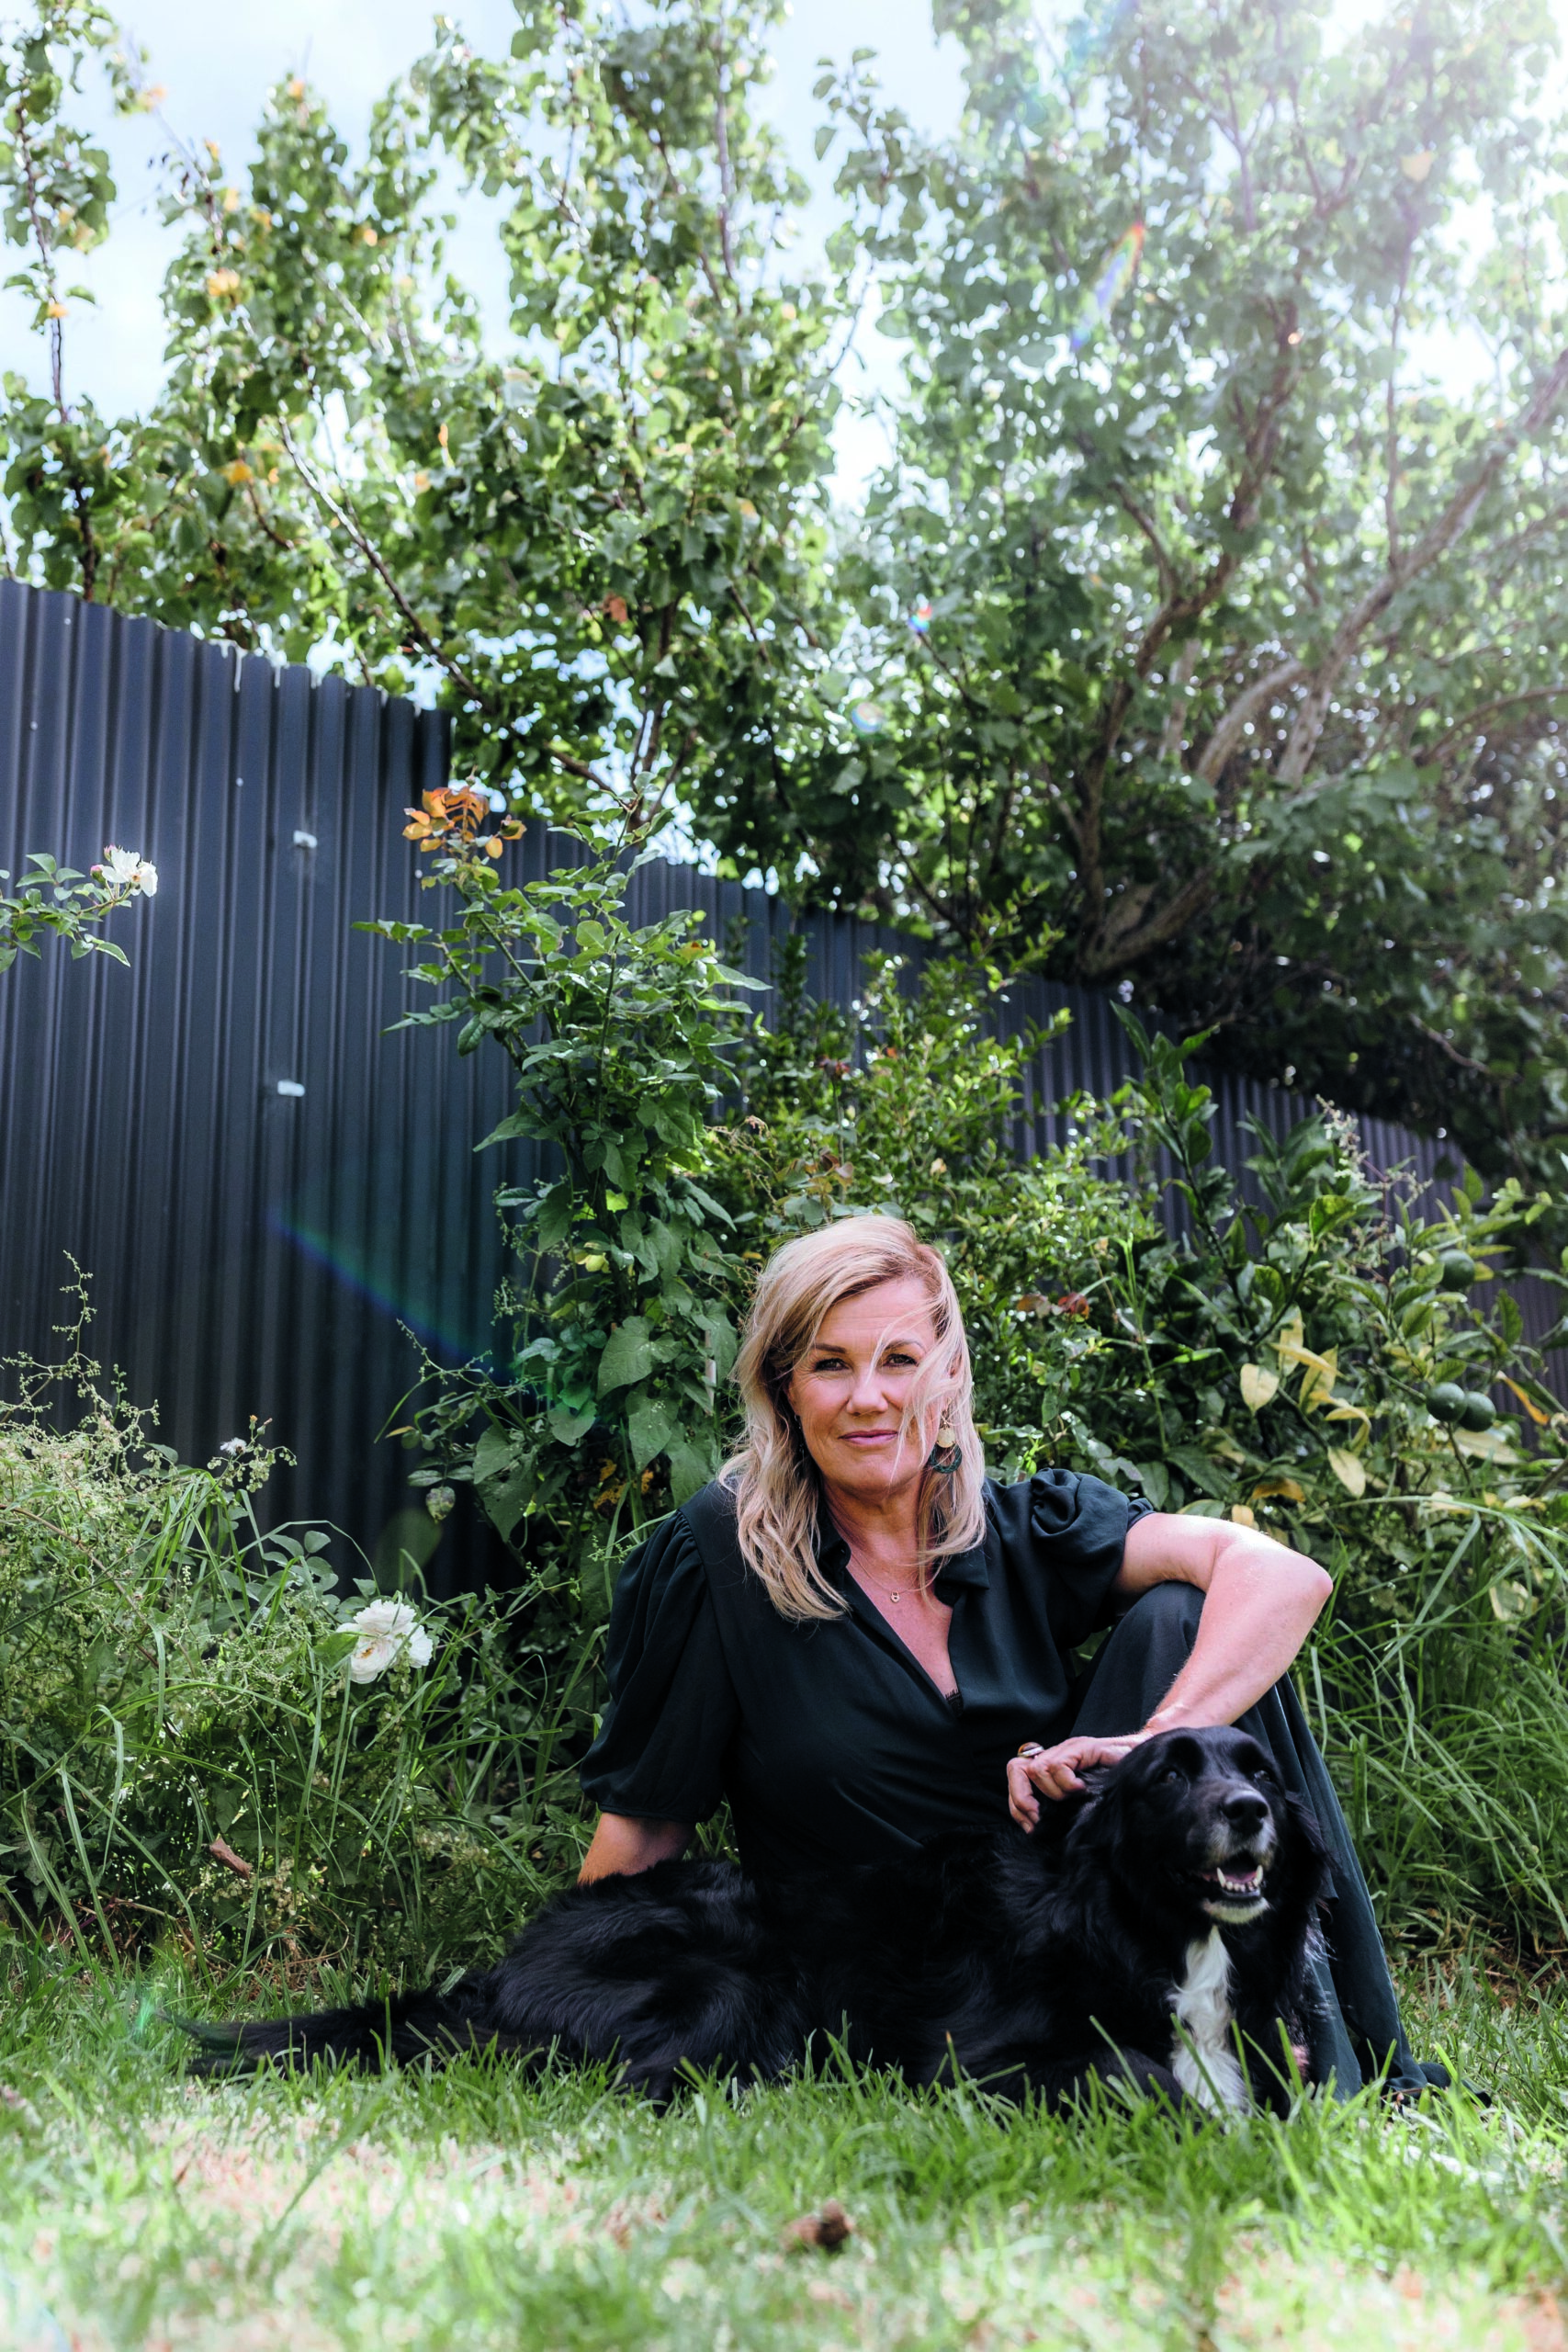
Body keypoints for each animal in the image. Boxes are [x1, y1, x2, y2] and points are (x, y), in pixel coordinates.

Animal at [190, 1731, 1335, 2117]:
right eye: (1168, 1775)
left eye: (1260, 1768)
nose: (1250, 1811)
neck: (1141, 1929)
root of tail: (500, 1967)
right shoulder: (972, 2059)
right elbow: (1132, 2070)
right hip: (732, 1972)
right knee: (632, 2083)